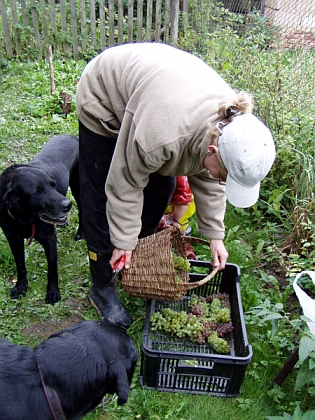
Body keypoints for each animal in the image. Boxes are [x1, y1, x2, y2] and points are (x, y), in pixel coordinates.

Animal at [0, 136, 84, 304]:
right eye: (37, 192)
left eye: (53, 185)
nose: (67, 205)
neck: (24, 219)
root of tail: (72, 136)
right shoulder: (14, 239)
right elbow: (20, 265)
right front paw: (21, 287)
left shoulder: (49, 240)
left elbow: (52, 269)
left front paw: (53, 293)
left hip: (78, 186)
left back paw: (80, 233)